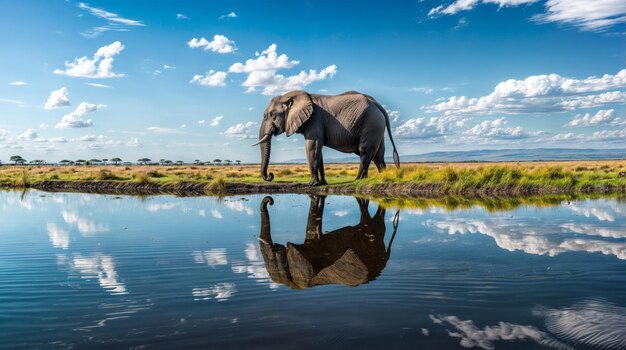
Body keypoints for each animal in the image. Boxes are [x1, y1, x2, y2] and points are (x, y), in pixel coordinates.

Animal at [252, 91, 400, 186]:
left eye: (271, 115)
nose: (270, 175)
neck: (289, 97)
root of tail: (378, 104)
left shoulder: (314, 120)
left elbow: (312, 146)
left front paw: (311, 184)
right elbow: (318, 150)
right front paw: (322, 183)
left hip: (371, 122)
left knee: (365, 150)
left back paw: (358, 180)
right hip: (376, 125)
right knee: (378, 155)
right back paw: (382, 178)